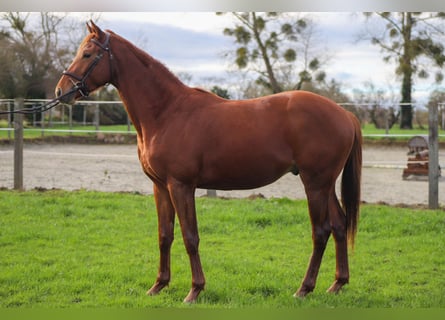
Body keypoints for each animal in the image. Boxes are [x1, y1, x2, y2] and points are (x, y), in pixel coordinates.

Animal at [55, 21, 360, 302]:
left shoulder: (181, 186)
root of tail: (344, 114)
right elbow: (165, 235)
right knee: (339, 225)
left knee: (320, 231)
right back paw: (337, 284)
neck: (167, 111)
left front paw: (195, 290)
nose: (61, 92)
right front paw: (158, 285)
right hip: (324, 185)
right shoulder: (160, 187)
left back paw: (304, 289)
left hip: (315, 183)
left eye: (87, 54)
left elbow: (190, 237)